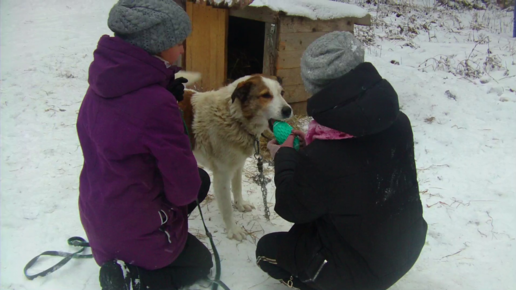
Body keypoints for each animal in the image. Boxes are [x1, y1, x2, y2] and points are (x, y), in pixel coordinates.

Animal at [176, 73, 292, 240]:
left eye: (281, 93)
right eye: (266, 95)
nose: (288, 110)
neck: (234, 119)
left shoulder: (238, 165)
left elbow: (237, 188)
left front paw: (240, 205)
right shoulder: (222, 175)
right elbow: (226, 208)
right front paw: (233, 229)